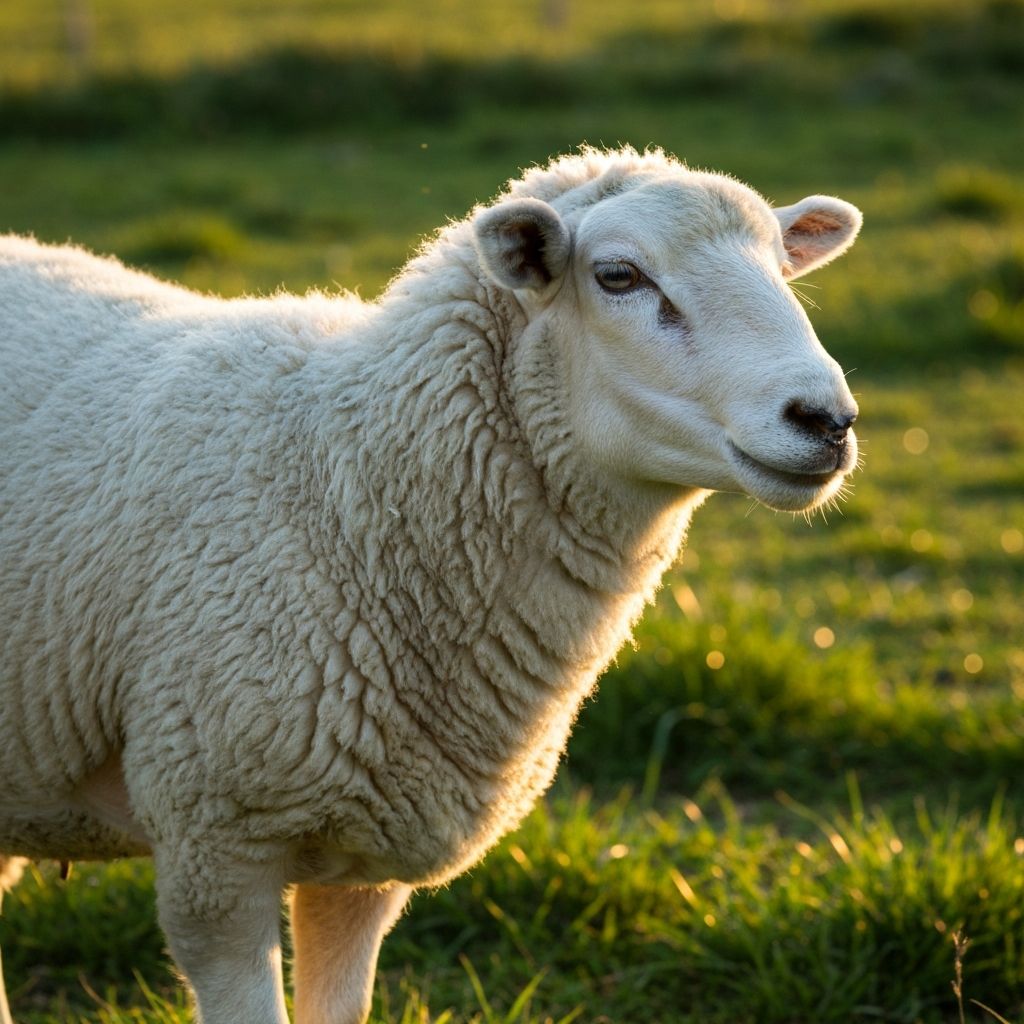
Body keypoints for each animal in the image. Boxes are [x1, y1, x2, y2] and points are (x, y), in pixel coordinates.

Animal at [0, 146, 862, 1024]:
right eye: (618, 276)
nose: (827, 420)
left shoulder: (367, 861)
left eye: (782, 268)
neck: (346, 488)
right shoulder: (215, 849)